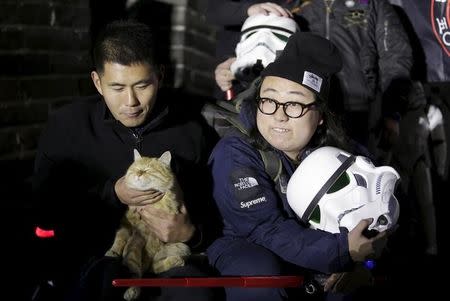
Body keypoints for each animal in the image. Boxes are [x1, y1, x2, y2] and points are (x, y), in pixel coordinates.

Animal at [107, 150, 192, 300]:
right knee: (144, 269)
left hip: (184, 247)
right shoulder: (126, 227)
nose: (139, 173)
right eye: (136, 169)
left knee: (152, 269)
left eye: (147, 170)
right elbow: (120, 239)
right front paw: (113, 251)